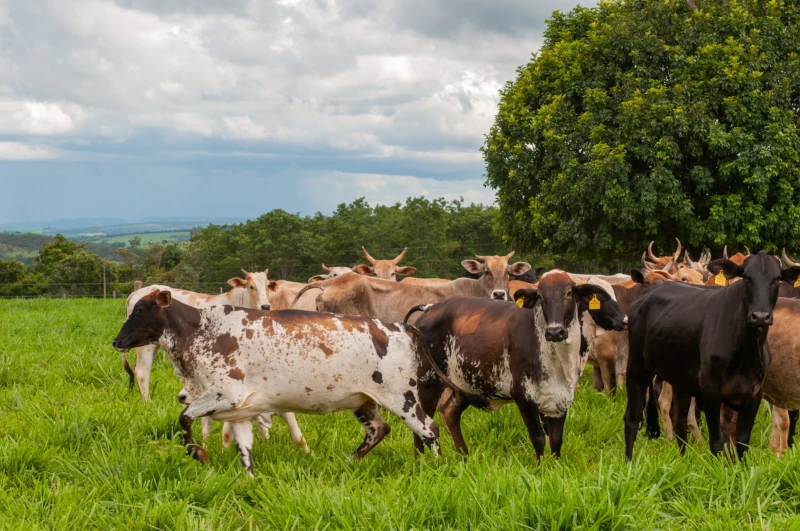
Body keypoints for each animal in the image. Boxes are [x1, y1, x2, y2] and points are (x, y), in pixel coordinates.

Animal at [113, 294, 446, 476]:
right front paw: (249, 480)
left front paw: (198, 453)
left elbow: (184, 418)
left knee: (429, 429)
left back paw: (436, 468)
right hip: (363, 401)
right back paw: (347, 463)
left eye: (141, 311)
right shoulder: (241, 413)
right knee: (379, 430)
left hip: (401, 398)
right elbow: (245, 451)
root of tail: (400, 326)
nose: (117, 341)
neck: (200, 331)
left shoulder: (224, 396)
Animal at [404, 272, 628, 460]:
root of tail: (430, 308)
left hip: (465, 385)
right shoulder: (524, 397)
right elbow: (538, 437)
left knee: (450, 413)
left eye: (569, 293)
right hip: (429, 383)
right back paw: (421, 461)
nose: (555, 331)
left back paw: (464, 456)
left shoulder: (561, 398)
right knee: (422, 422)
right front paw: (540, 468)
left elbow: (556, 439)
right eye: (540, 296)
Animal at [624, 251, 800, 460]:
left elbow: (741, 440)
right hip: (637, 367)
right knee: (634, 417)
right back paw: (629, 462)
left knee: (679, 420)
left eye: (777, 279)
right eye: (746, 277)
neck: (745, 350)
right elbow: (717, 441)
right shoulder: (710, 391)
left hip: (680, 380)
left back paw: (684, 460)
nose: (760, 316)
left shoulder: (753, 394)